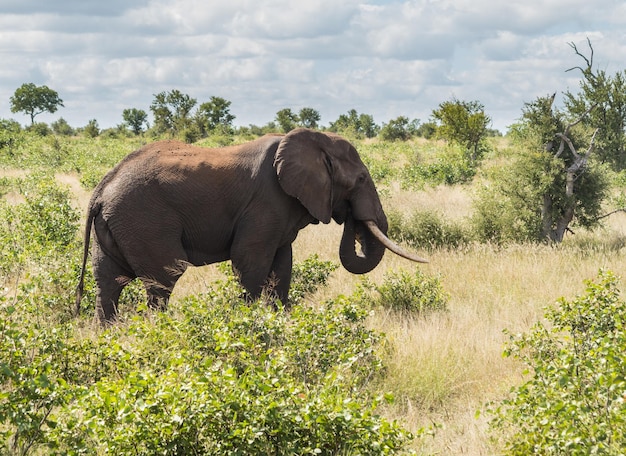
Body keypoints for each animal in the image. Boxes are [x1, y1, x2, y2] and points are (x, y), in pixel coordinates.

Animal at [73, 126, 424, 322]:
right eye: (361, 178)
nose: (350, 217)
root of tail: (101, 190)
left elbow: (282, 268)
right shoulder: (265, 203)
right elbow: (250, 263)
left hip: (118, 225)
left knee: (109, 282)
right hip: (145, 222)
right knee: (163, 280)